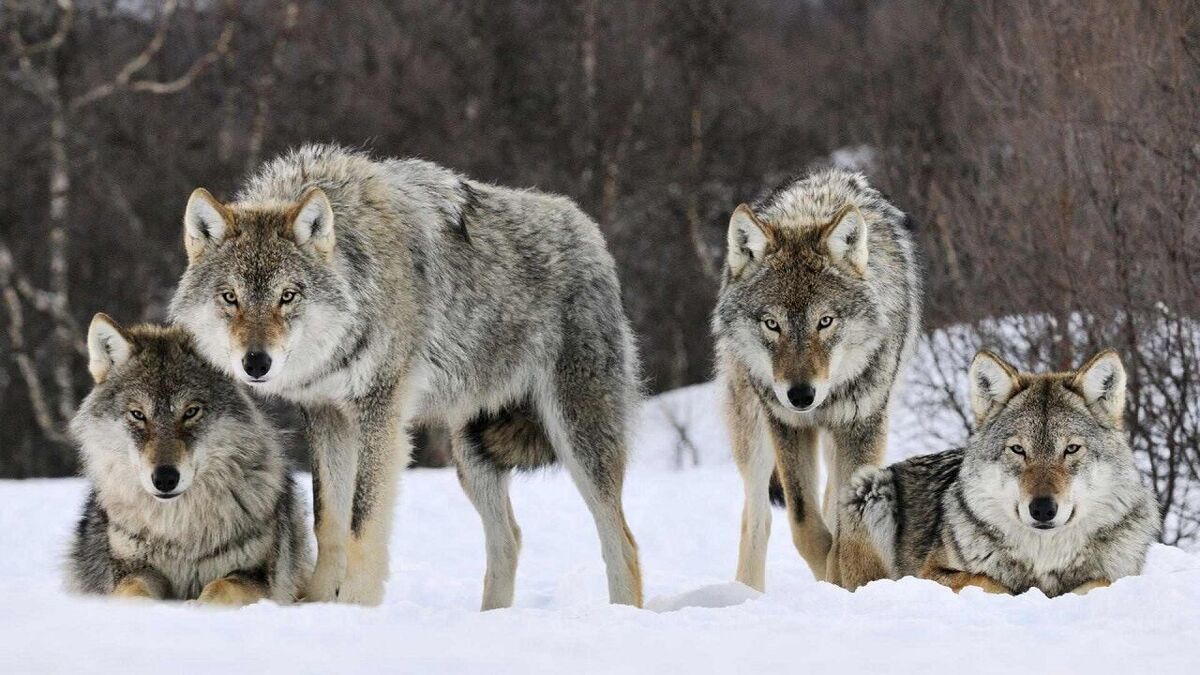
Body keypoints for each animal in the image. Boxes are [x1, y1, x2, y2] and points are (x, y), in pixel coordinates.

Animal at [66, 314, 312, 605]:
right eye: (138, 414)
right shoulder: (133, 569)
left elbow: (220, 588)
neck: (179, 530)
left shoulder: (256, 576)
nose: (165, 478)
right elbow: (133, 591)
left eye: (191, 412)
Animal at [169, 144, 643, 607]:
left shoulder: (380, 413)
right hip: (471, 453)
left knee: (622, 541)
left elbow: (362, 523)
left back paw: (622, 613)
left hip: (577, 438)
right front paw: (318, 604)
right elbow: (328, 522)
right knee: (509, 538)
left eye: (288, 296)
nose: (256, 363)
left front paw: (355, 607)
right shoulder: (326, 416)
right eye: (230, 297)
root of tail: (589, 231)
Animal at [710, 169, 916, 588]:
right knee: (757, 516)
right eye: (772, 324)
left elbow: (845, 527)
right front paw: (830, 577)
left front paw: (847, 578)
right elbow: (805, 525)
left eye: (825, 321)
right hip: (753, 431)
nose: (801, 395)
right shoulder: (787, 425)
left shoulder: (863, 425)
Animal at [844, 345, 1161, 593]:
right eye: (1018, 450)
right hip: (869, 486)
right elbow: (989, 581)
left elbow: (1099, 582)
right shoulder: (930, 574)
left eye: (1071, 449)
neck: (1044, 558)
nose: (1042, 509)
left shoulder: (1119, 575)